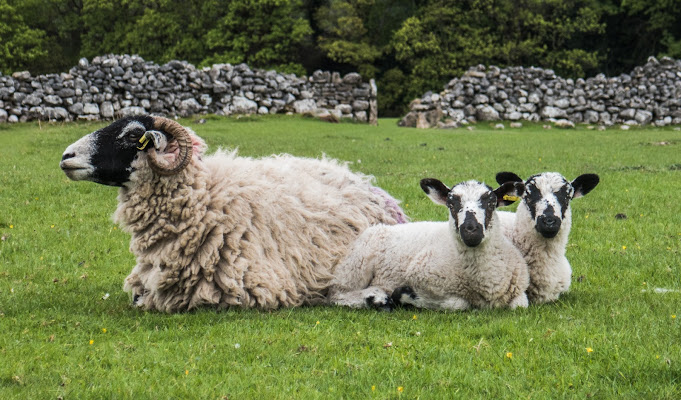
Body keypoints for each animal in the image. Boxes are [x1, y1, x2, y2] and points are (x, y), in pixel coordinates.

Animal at [58, 115, 406, 312]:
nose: (66, 156)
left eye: (132, 135)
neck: (205, 198)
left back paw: (372, 298)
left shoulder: (248, 287)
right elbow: (138, 298)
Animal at [326, 178, 528, 312]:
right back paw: (375, 298)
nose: (471, 230)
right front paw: (406, 296)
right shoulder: (422, 279)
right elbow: (458, 304)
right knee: (337, 294)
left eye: (491, 203)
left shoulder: (520, 293)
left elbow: (520, 305)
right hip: (355, 267)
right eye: (451, 204)